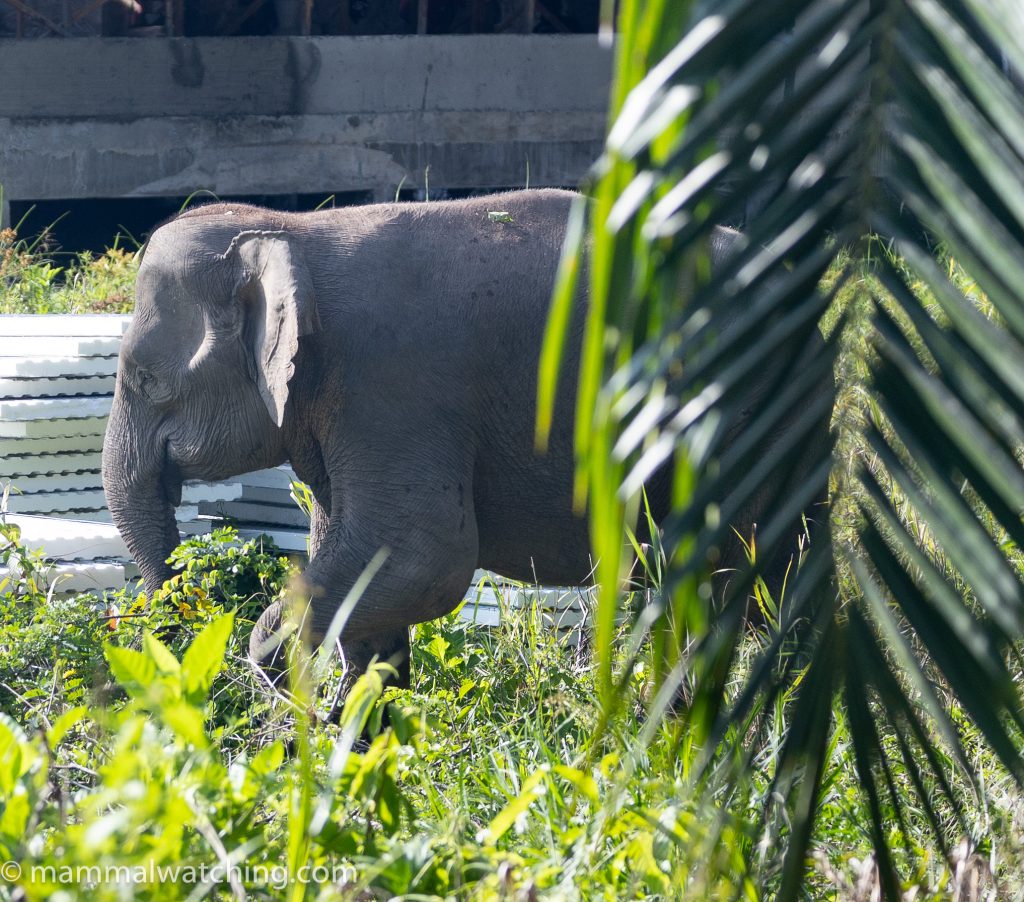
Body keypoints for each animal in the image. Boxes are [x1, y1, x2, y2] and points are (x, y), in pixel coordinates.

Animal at [102, 188, 830, 692]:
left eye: (145, 380)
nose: (185, 622)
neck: (291, 231)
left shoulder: (393, 388)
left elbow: (426, 557)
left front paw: (274, 669)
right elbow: (371, 564)